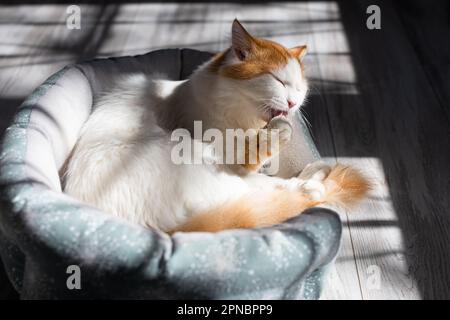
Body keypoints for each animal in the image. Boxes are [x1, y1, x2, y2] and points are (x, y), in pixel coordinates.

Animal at [64, 20, 372, 234]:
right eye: (278, 81)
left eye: (300, 87)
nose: (294, 102)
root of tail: (161, 232)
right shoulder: (229, 156)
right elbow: (258, 161)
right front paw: (280, 132)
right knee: (275, 190)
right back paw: (314, 182)